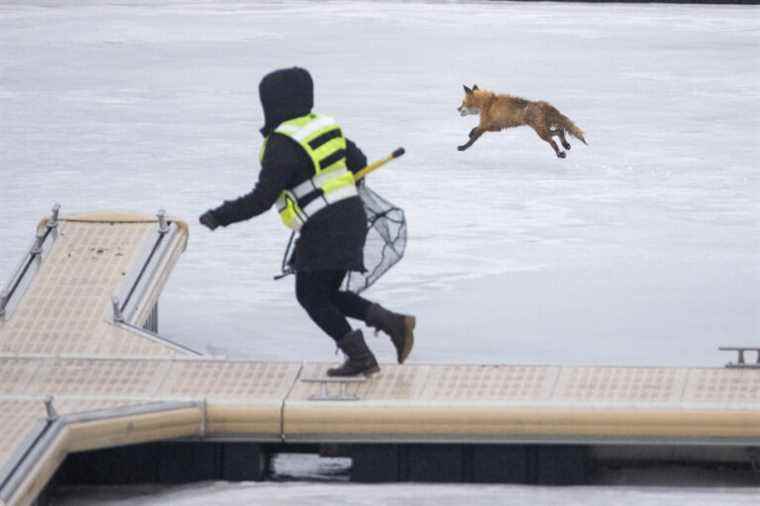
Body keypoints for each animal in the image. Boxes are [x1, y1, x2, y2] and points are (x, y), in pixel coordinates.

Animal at [458, 84, 588, 158]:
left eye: (463, 102)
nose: (457, 108)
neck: (488, 103)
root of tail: (544, 105)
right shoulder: (495, 127)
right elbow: (474, 130)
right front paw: (470, 133)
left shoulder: (486, 125)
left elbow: (472, 139)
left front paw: (462, 147)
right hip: (543, 130)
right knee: (559, 131)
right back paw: (565, 145)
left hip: (541, 132)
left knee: (553, 142)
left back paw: (560, 154)